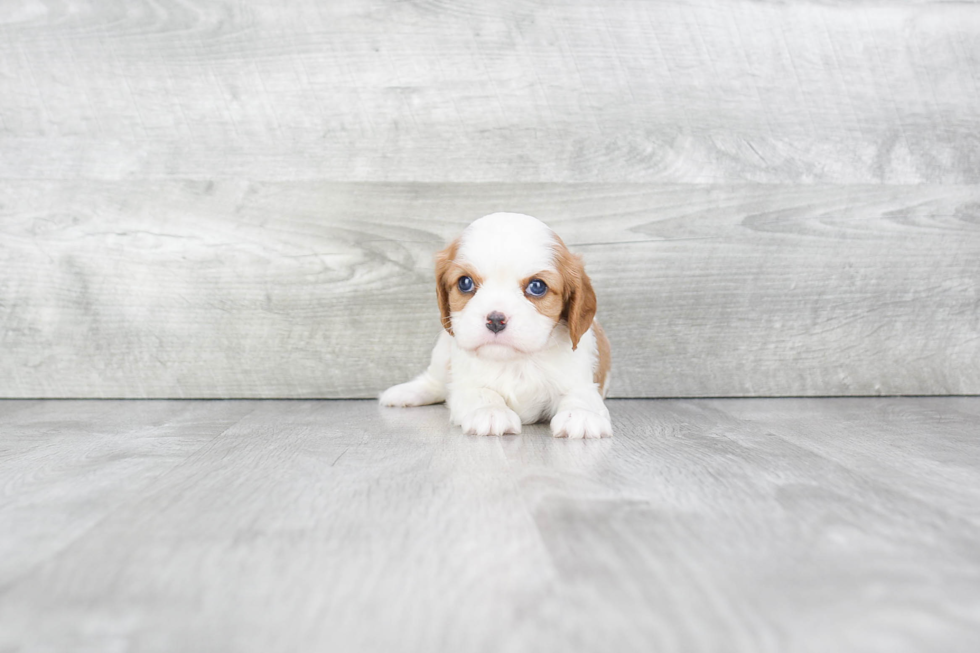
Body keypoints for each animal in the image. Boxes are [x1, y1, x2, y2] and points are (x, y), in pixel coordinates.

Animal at [380, 214, 612, 438]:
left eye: (537, 286)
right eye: (465, 282)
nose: (495, 320)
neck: (515, 362)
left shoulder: (580, 379)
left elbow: (580, 395)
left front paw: (581, 415)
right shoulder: (465, 385)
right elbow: (481, 393)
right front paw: (490, 412)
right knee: (435, 381)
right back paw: (405, 393)